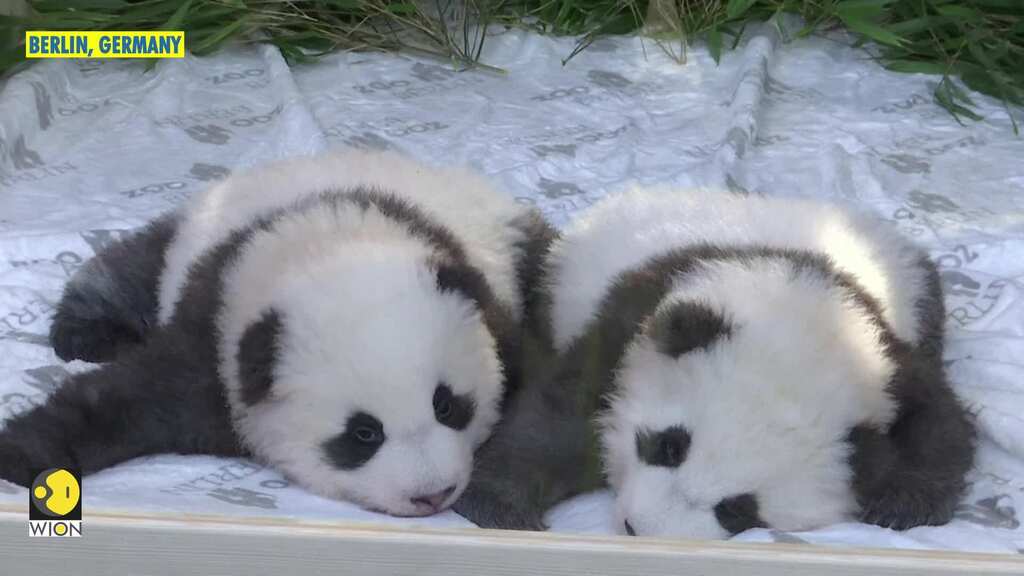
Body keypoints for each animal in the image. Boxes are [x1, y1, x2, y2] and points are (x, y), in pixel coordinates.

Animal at [0, 150, 556, 518]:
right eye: (363, 434)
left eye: (447, 405)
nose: (433, 494)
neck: (328, 243)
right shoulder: (215, 339)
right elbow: (118, 402)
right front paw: (17, 456)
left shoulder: (495, 312)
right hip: (182, 241)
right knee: (131, 269)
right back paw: (84, 332)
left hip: (511, 238)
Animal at [454, 186, 975, 537]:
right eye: (669, 445)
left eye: (738, 510)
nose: (639, 528)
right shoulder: (639, 313)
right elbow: (561, 414)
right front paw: (499, 505)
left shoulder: (888, 355)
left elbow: (938, 420)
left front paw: (903, 501)